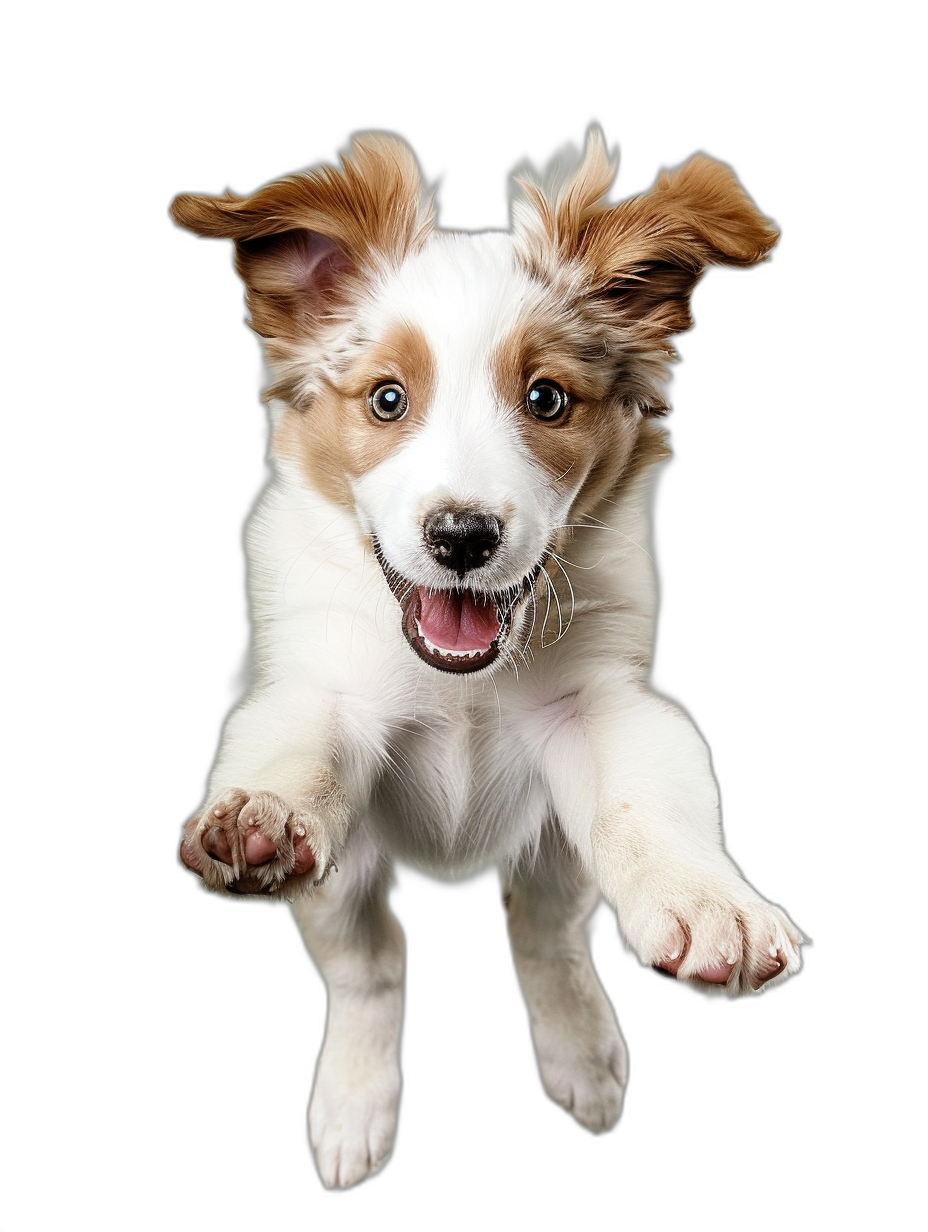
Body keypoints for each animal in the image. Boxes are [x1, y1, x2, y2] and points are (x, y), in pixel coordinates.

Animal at [172, 132, 803, 1192]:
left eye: (545, 399)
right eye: (387, 400)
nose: (462, 537)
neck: (460, 677)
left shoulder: (601, 707)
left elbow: (647, 807)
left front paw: (710, 901)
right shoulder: (325, 688)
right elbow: (299, 756)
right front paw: (259, 816)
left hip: (550, 845)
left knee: (539, 928)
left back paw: (583, 1054)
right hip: (348, 876)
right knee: (370, 957)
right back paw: (353, 1106)